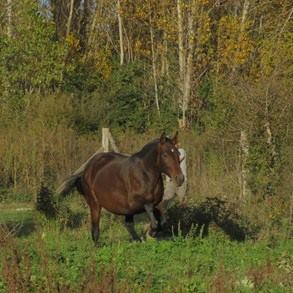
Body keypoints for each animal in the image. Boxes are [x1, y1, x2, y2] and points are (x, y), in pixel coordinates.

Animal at [56, 131, 184, 243]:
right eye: (165, 155)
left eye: (178, 154)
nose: (180, 178)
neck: (145, 174)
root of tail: (87, 169)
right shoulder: (137, 204)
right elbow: (153, 217)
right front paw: (151, 232)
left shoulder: (152, 204)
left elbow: (161, 219)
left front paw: (151, 233)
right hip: (95, 204)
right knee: (95, 229)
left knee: (128, 225)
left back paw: (137, 240)